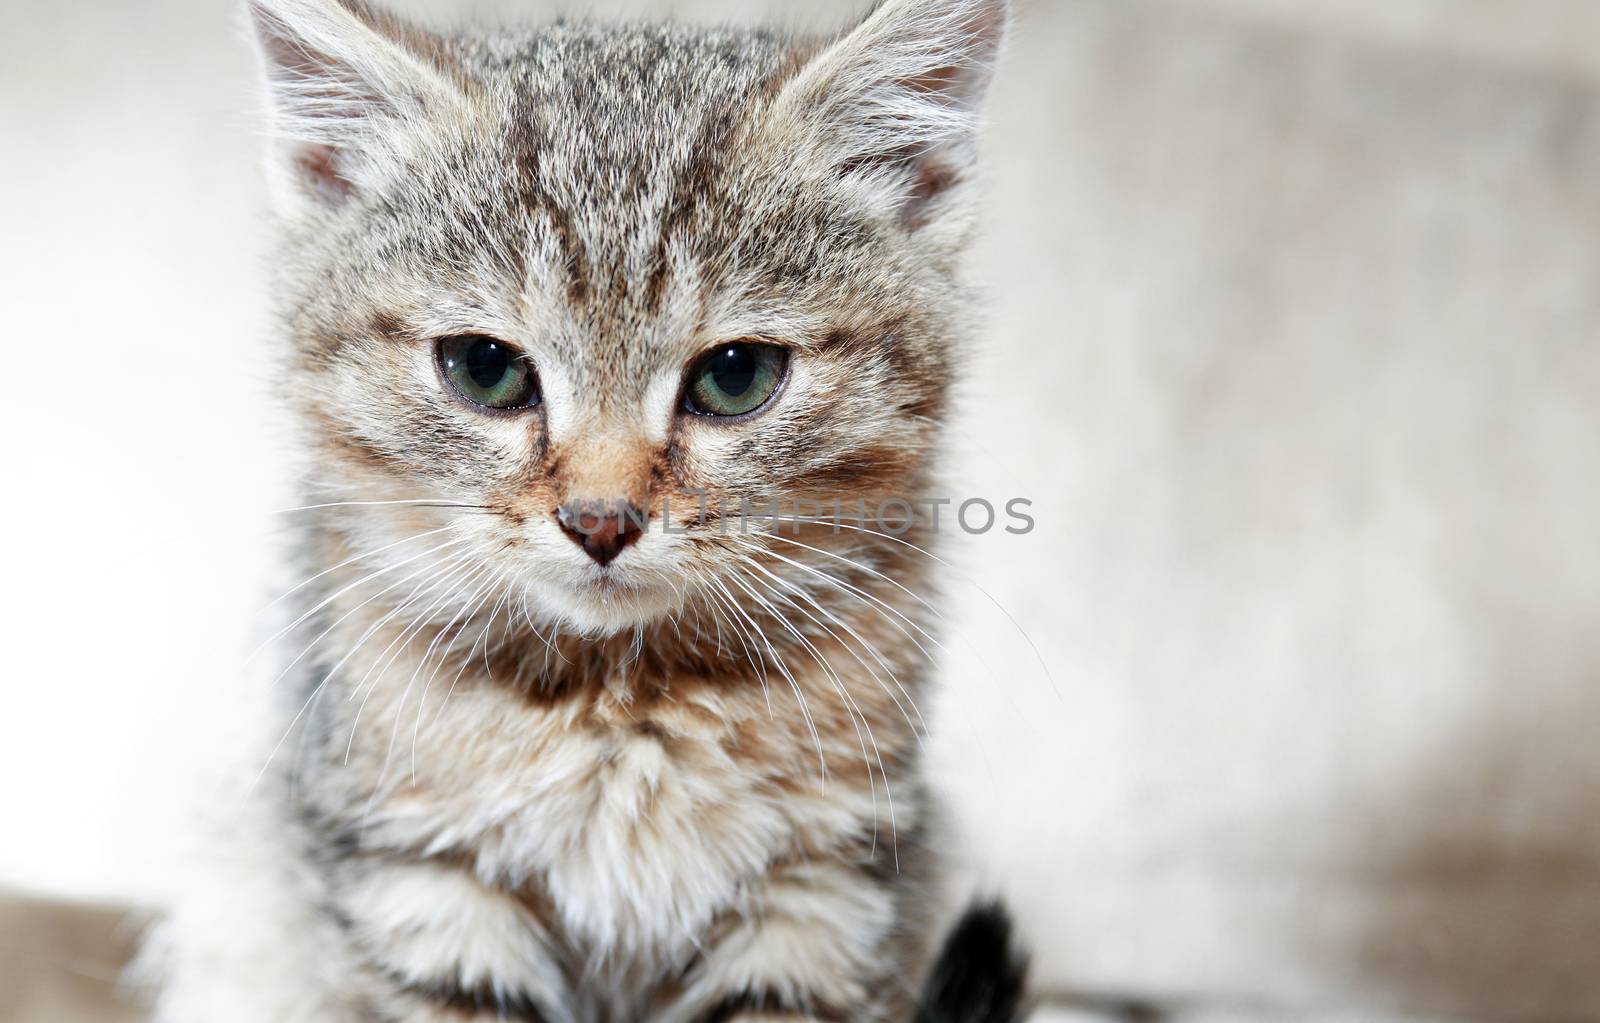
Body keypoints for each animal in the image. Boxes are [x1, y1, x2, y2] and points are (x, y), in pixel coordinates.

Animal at [147, 0, 1024, 1018]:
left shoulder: (825, 884)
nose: (602, 519)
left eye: (737, 377)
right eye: (485, 369)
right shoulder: (420, 877)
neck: (622, 696)